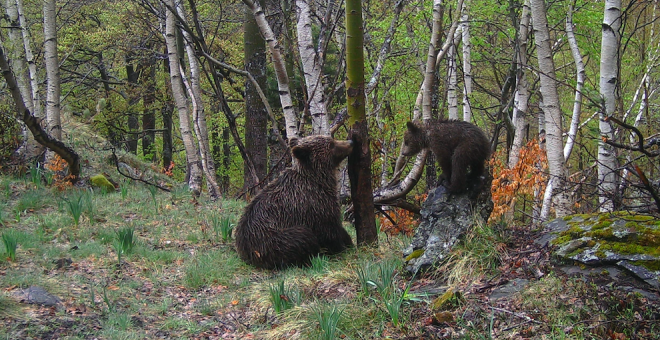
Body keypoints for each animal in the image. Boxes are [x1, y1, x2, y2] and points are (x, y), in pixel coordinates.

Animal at [235, 134, 354, 270]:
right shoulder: (315, 205)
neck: (319, 180)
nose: (351, 142)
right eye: (331, 144)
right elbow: (331, 231)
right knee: (303, 237)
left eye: (332, 139)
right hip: (273, 239)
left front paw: (348, 242)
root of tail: (247, 253)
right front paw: (343, 246)